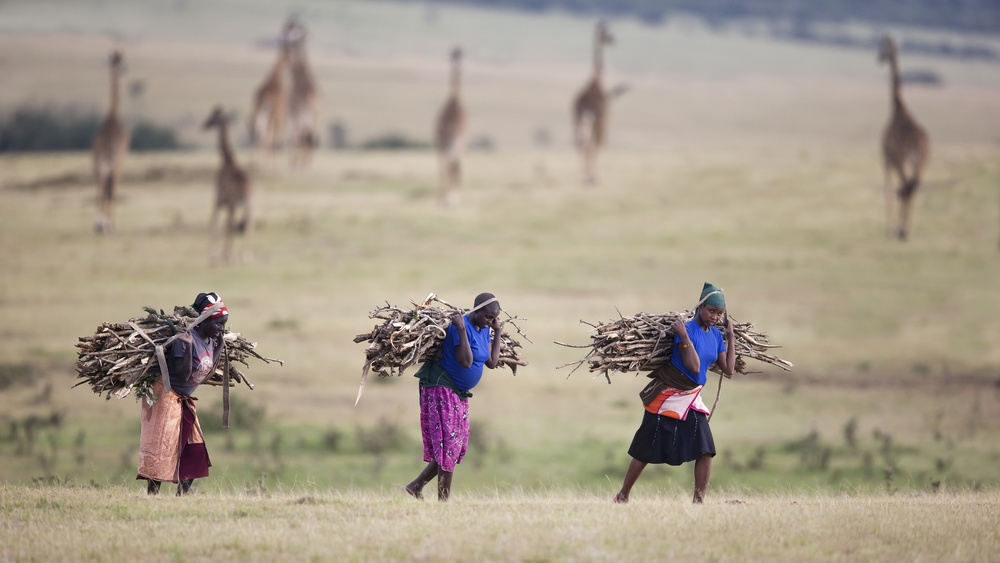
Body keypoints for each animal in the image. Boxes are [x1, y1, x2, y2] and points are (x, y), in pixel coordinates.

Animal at [203, 106, 254, 264]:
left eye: (213, 117)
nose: (204, 125)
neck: (227, 160)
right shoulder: (227, 203)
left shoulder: (219, 199)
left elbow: (214, 222)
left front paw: (214, 255)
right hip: (247, 204)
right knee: (248, 224)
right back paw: (246, 255)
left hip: (232, 203)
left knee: (230, 225)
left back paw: (231, 256)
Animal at [880, 34, 932, 242]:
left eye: (884, 48)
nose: (878, 58)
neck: (898, 107)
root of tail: (917, 142)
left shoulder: (886, 157)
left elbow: (888, 190)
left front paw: (889, 228)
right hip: (921, 163)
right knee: (912, 188)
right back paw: (906, 230)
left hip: (901, 161)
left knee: (904, 187)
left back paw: (901, 230)